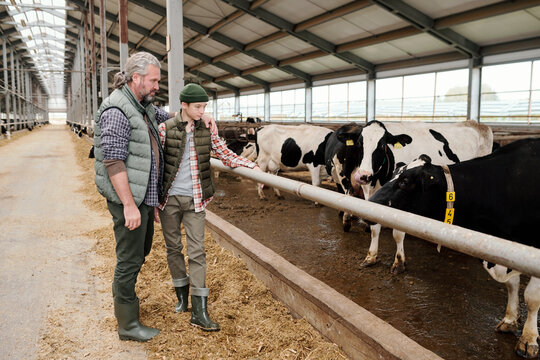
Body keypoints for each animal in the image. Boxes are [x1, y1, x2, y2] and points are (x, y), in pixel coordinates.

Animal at [332, 121, 492, 272]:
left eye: (382, 144)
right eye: (360, 143)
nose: (363, 176)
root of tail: (476, 123)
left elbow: (398, 233)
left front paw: (399, 263)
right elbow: (374, 228)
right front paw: (371, 257)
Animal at [370, 138, 540, 358]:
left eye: (405, 182)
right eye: (392, 175)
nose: (369, 202)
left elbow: (532, 297)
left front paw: (528, 339)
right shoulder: (506, 252)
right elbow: (512, 285)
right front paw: (510, 321)